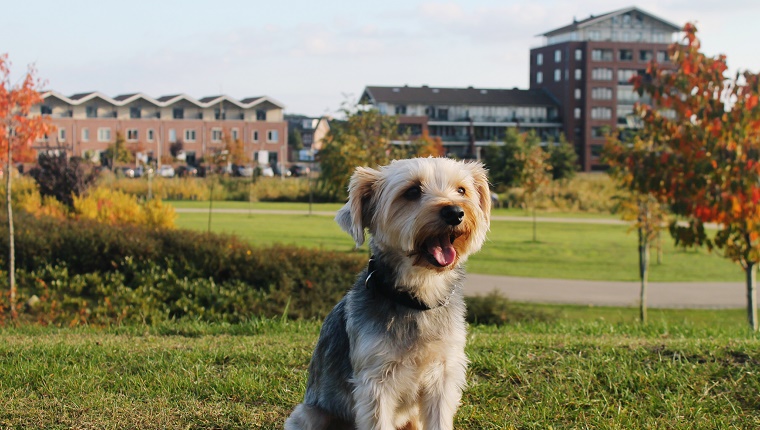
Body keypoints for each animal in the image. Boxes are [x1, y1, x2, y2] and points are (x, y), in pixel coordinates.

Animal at [284, 158, 492, 430]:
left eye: (461, 190)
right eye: (412, 191)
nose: (455, 212)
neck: (418, 297)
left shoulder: (444, 373)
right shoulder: (375, 382)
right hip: (309, 414)